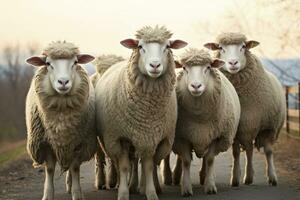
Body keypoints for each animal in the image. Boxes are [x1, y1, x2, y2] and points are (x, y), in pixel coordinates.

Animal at [25, 41, 96, 200]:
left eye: (75, 62)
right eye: (48, 63)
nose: (63, 82)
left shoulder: (78, 143)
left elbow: (75, 168)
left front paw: (77, 194)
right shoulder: (45, 143)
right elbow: (50, 169)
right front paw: (47, 195)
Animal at [94, 25, 188, 200]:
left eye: (167, 47)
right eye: (140, 46)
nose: (155, 65)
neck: (147, 112)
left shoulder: (153, 137)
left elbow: (149, 166)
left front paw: (151, 192)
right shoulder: (120, 137)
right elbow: (124, 166)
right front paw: (123, 193)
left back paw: (141, 186)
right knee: (126, 162)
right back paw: (124, 184)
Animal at [171, 48, 241, 195]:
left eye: (208, 67)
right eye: (184, 68)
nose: (196, 86)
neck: (199, 117)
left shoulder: (216, 136)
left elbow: (209, 160)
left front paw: (210, 186)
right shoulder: (182, 136)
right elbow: (186, 161)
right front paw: (186, 188)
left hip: (206, 135)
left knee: (205, 158)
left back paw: (204, 176)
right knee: (180, 157)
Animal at [204, 32, 286, 187]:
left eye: (243, 47)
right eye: (221, 48)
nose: (233, 63)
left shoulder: (268, 127)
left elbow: (269, 151)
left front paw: (272, 177)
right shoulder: (236, 128)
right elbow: (236, 153)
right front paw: (235, 178)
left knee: (254, 150)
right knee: (249, 149)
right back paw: (248, 177)